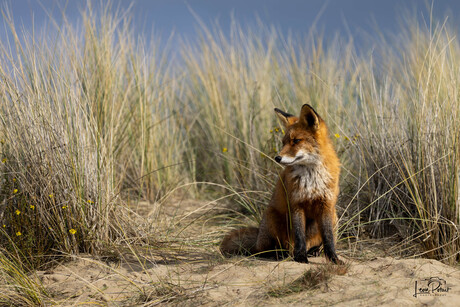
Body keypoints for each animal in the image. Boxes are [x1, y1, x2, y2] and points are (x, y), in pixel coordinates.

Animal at [219, 104, 342, 264]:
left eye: (296, 141)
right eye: (283, 142)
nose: (277, 158)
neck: (311, 178)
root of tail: (258, 238)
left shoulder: (326, 205)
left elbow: (328, 238)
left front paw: (333, 258)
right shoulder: (296, 204)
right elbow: (299, 235)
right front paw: (300, 257)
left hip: (334, 216)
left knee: (312, 243)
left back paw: (313, 251)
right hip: (272, 218)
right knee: (267, 250)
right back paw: (280, 254)